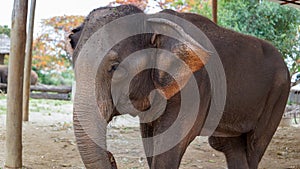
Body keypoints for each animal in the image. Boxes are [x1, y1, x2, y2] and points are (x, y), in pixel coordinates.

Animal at [69, 4, 290, 168]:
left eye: (115, 68)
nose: (111, 157)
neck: (153, 20)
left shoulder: (196, 86)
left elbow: (169, 145)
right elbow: (150, 141)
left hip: (279, 95)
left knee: (254, 146)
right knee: (230, 146)